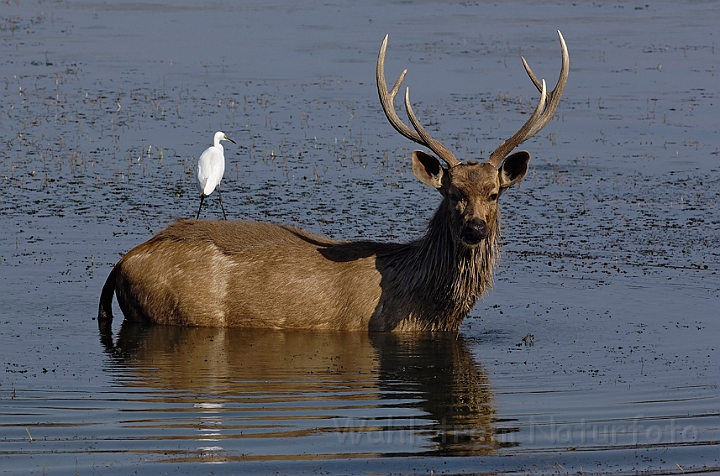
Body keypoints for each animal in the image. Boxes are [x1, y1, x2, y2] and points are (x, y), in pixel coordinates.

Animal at [97, 32, 568, 330]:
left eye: (495, 193)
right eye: (453, 193)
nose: (475, 228)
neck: (429, 309)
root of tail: (122, 262)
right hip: (169, 309)